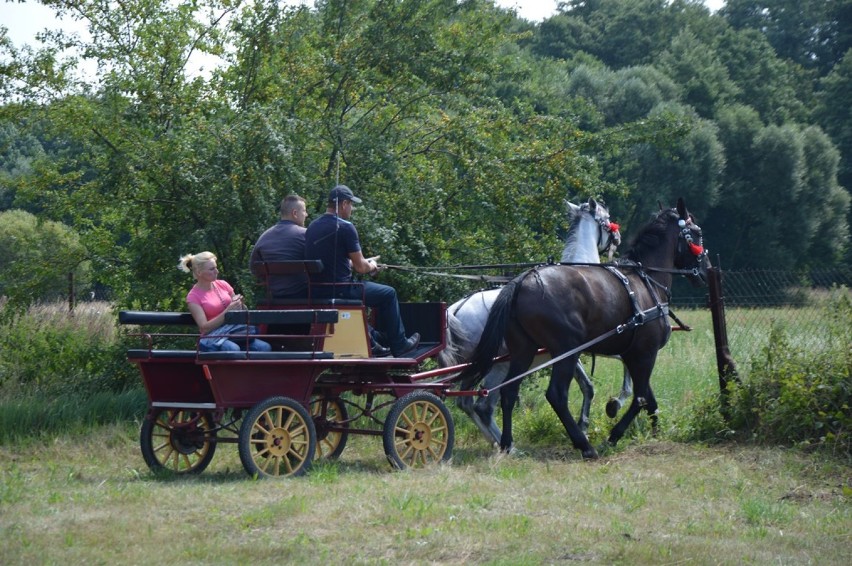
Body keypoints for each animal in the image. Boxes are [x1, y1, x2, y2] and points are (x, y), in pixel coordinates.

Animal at [462, 200, 708, 462]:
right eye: (698, 233)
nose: (705, 270)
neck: (647, 281)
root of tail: (521, 282)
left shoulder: (632, 354)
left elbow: (646, 396)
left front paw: (654, 430)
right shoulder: (645, 352)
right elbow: (640, 396)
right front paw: (614, 434)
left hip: (523, 350)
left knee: (508, 392)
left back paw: (507, 444)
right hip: (565, 351)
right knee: (556, 395)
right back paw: (584, 445)